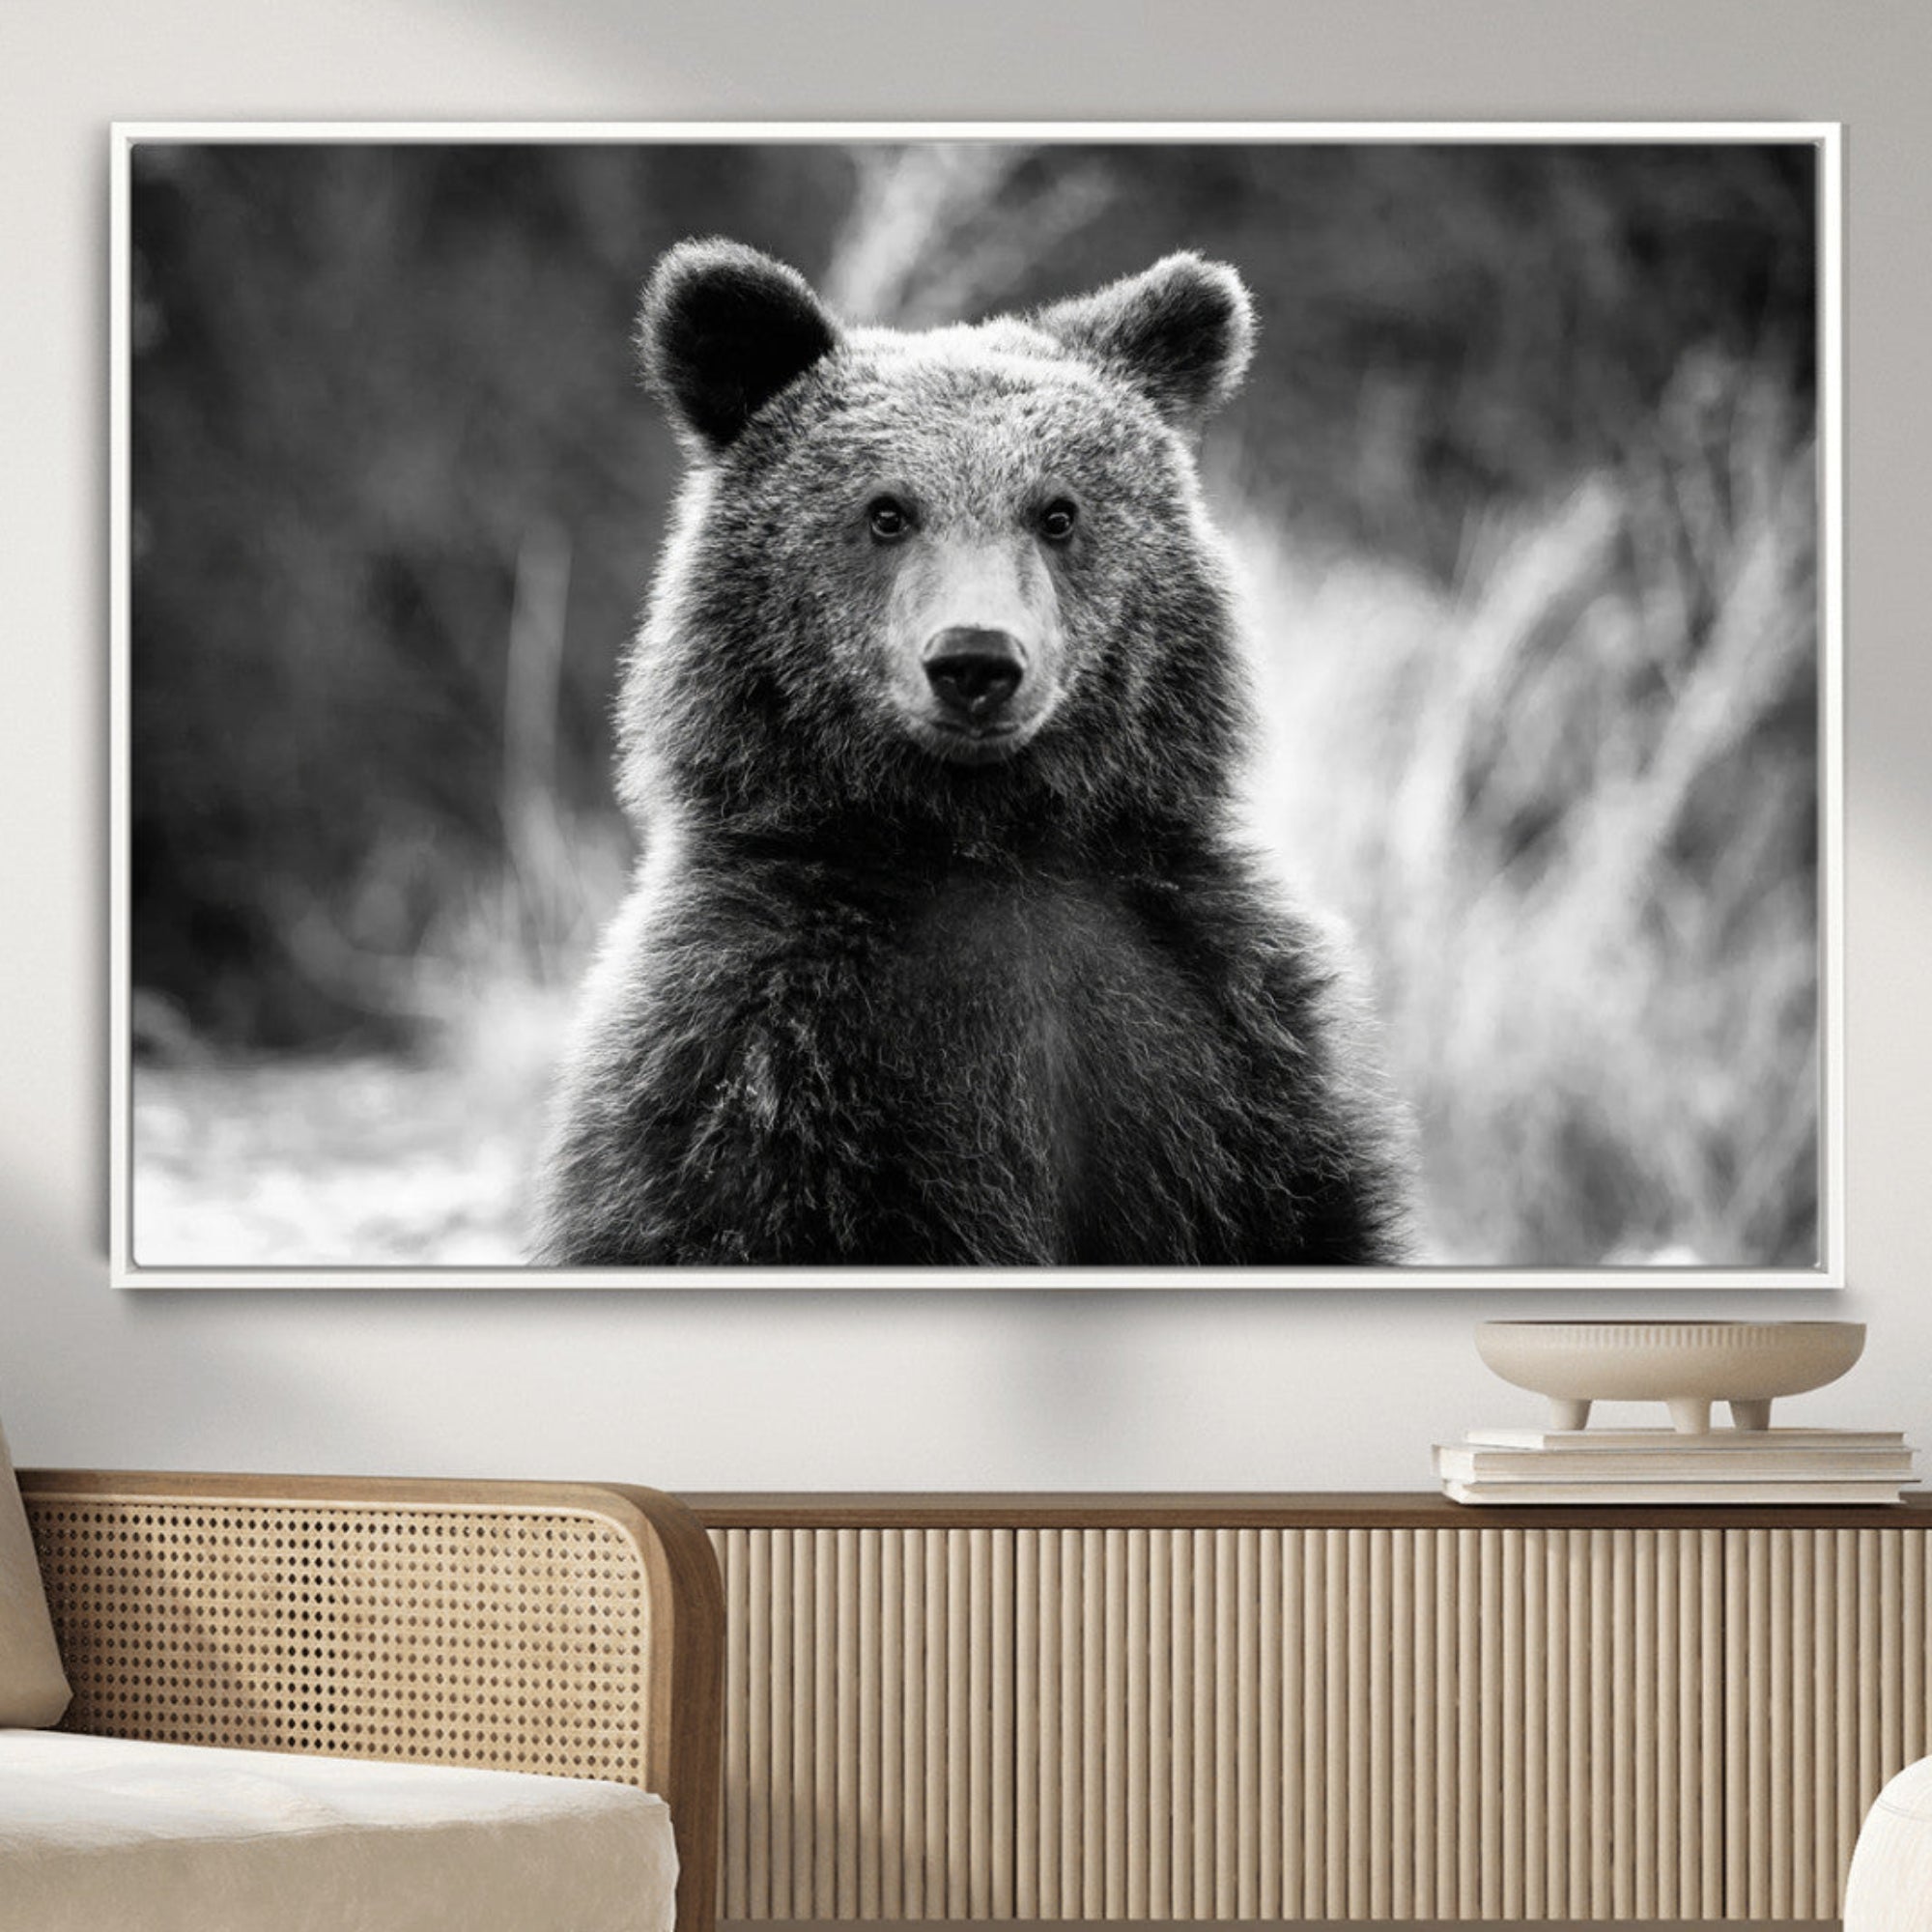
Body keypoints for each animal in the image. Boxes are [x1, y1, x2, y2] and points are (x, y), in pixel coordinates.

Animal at [531, 239, 1411, 1268]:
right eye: (886, 511)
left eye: (1058, 512)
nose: (976, 661)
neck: (986, 841)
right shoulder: (753, 1052)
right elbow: (711, 1210)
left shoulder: (1226, 1037)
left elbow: (1305, 1209)